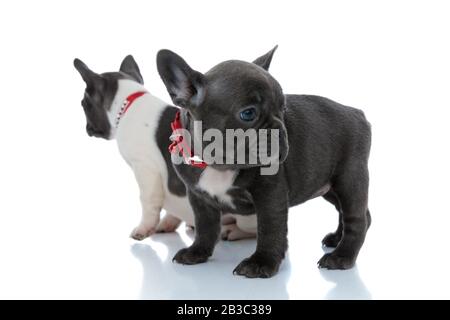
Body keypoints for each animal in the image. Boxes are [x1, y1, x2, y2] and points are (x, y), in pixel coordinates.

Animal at [73, 55, 256, 240]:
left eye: (83, 104)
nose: (87, 128)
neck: (129, 104)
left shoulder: (145, 168)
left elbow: (148, 200)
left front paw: (143, 229)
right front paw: (169, 222)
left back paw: (232, 230)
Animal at [156, 46, 370, 278]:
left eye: (283, 109)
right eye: (248, 113)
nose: (280, 131)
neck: (220, 165)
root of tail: (358, 113)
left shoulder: (270, 196)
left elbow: (269, 229)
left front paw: (261, 262)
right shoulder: (199, 197)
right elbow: (205, 227)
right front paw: (197, 252)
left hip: (349, 180)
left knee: (356, 218)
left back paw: (341, 256)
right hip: (328, 187)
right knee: (350, 213)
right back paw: (336, 239)